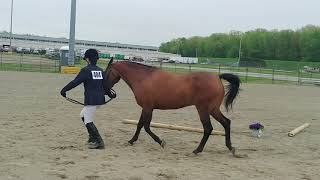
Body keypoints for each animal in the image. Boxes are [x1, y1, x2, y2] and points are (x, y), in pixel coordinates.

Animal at [105, 59, 240, 155]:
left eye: (106, 73)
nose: (107, 91)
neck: (144, 78)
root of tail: (217, 77)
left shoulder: (148, 107)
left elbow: (146, 127)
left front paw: (161, 142)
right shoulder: (146, 108)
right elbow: (140, 125)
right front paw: (132, 140)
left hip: (203, 109)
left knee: (208, 128)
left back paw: (197, 150)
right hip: (213, 109)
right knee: (226, 123)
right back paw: (230, 147)